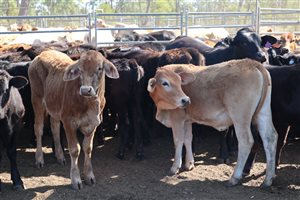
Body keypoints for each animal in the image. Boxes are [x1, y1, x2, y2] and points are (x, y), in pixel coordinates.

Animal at [28, 48, 119, 189]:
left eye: (99, 68)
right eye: (80, 70)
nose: (86, 90)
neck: (89, 104)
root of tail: (43, 53)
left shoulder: (94, 124)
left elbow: (88, 148)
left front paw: (89, 176)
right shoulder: (69, 122)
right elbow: (75, 149)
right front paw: (76, 180)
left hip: (54, 106)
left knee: (54, 127)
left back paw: (60, 156)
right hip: (36, 99)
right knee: (38, 129)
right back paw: (39, 159)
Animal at [148, 58, 278, 188]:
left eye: (180, 83)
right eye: (165, 83)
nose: (186, 100)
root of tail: (251, 62)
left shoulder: (177, 119)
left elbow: (178, 141)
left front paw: (175, 167)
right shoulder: (187, 120)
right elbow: (188, 139)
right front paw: (189, 163)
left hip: (240, 117)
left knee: (246, 142)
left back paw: (235, 177)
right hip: (263, 113)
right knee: (270, 138)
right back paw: (268, 179)